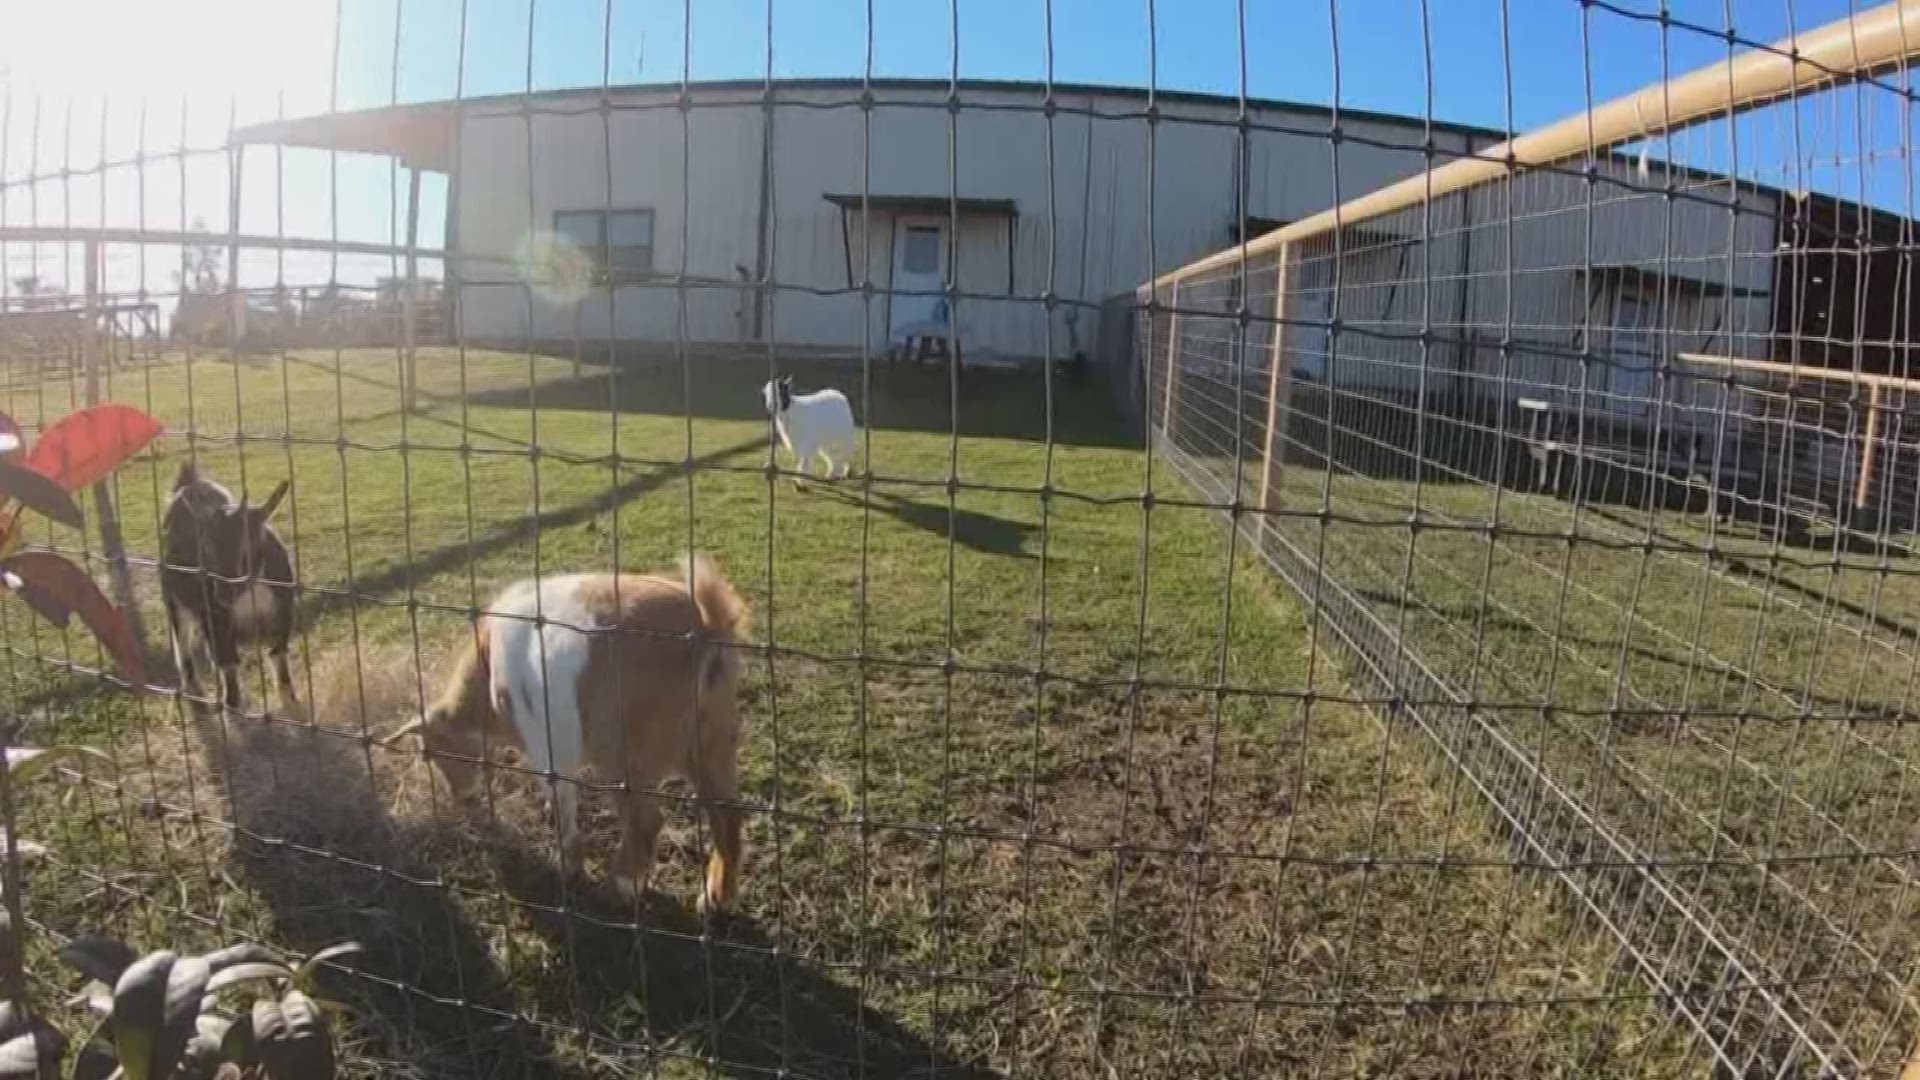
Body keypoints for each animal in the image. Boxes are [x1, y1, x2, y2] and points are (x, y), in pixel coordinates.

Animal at [391, 553, 748, 907]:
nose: (462, 798)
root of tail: (707, 625)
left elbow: (563, 804)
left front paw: (567, 867)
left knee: (647, 820)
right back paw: (715, 899)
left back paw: (620, 887)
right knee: (727, 811)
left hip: (625, 747)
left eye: (431, 753)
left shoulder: (545, 747)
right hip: (712, 732)